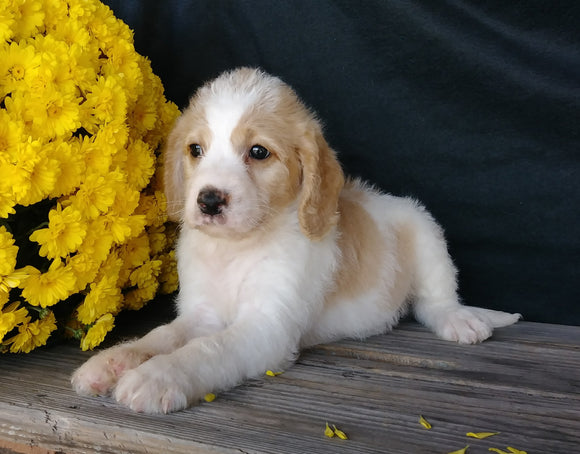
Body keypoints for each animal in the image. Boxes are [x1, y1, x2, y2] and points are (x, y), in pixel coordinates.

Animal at [72, 68, 520, 414]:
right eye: (195, 149)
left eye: (258, 152)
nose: (209, 200)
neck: (236, 249)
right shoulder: (201, 314)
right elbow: (161, 337)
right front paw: (113, 362)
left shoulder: (265, 327)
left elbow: (205, 350)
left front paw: (155, 377)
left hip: (427, 233)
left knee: (433, 301)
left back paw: (459, 320)